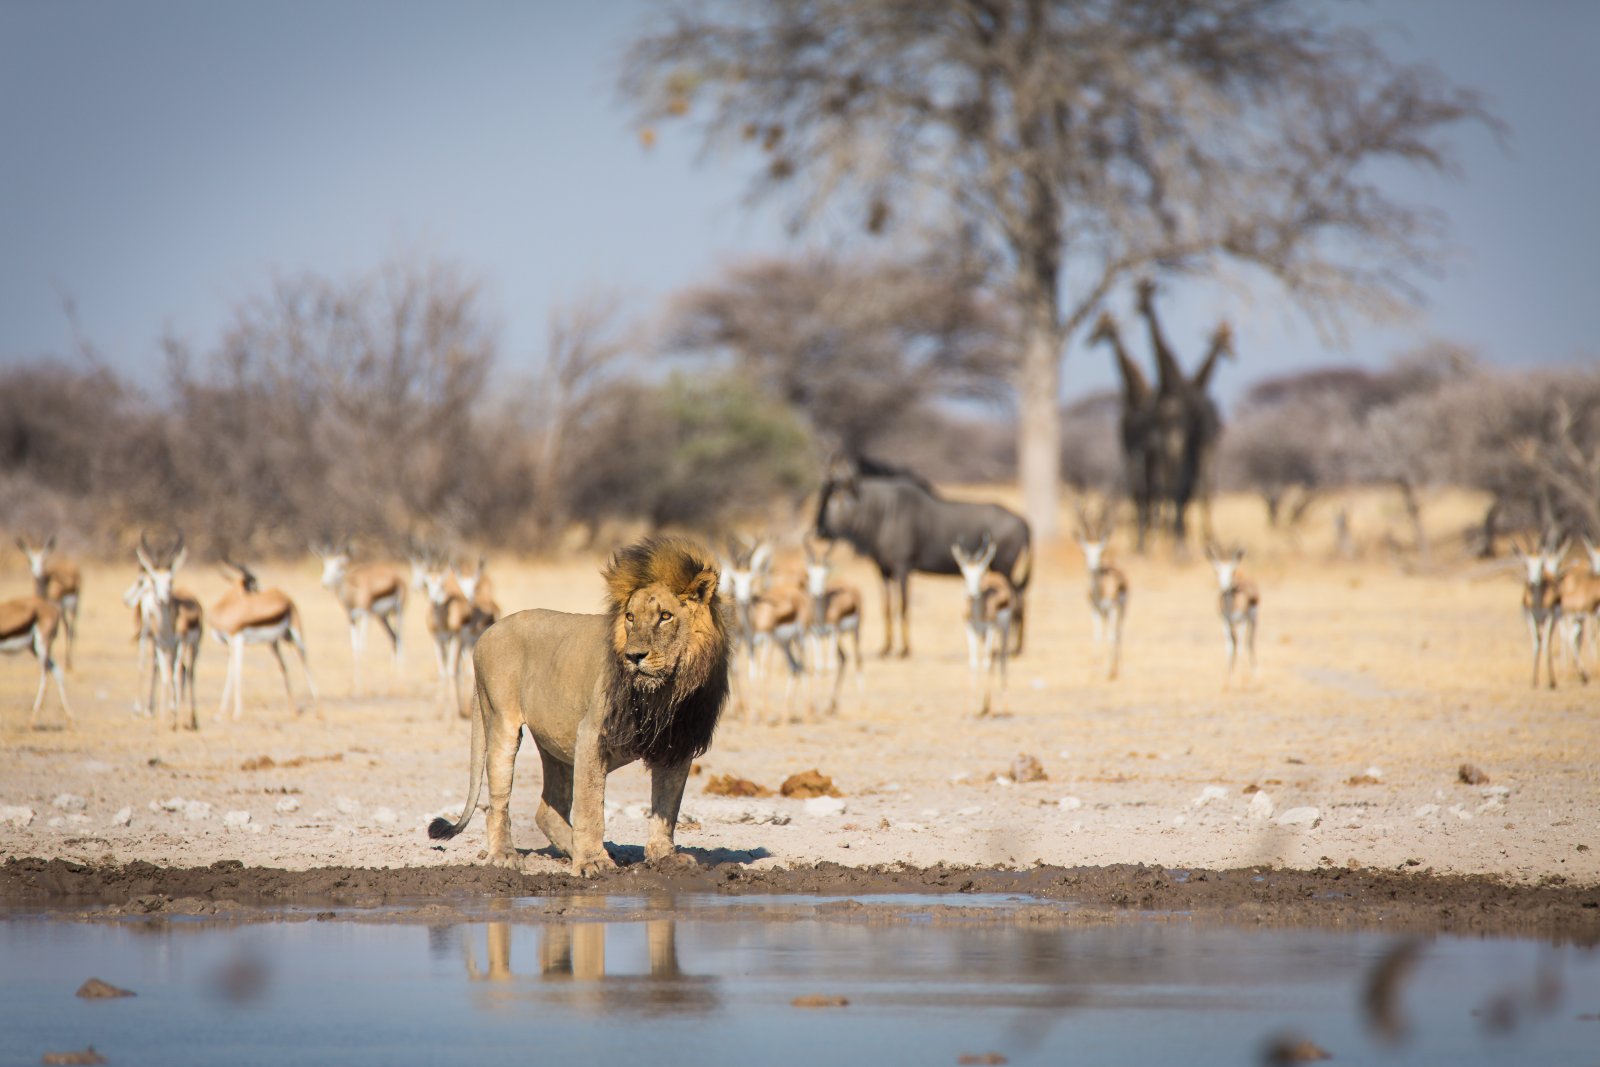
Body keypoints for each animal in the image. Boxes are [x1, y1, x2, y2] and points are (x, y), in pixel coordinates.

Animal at [425, 534, 726, 876]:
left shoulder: (678, 745)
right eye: (630, 617)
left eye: (665, 616)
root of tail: (487, 632)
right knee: (497, 800)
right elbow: (590, 806)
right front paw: (593, 862)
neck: (666, 692)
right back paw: (504, 855)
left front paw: (664, 857)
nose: (634, 656)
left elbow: (666, 806)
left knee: (546, 809)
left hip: (557, 743)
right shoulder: (592, 733)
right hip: (502, 723)